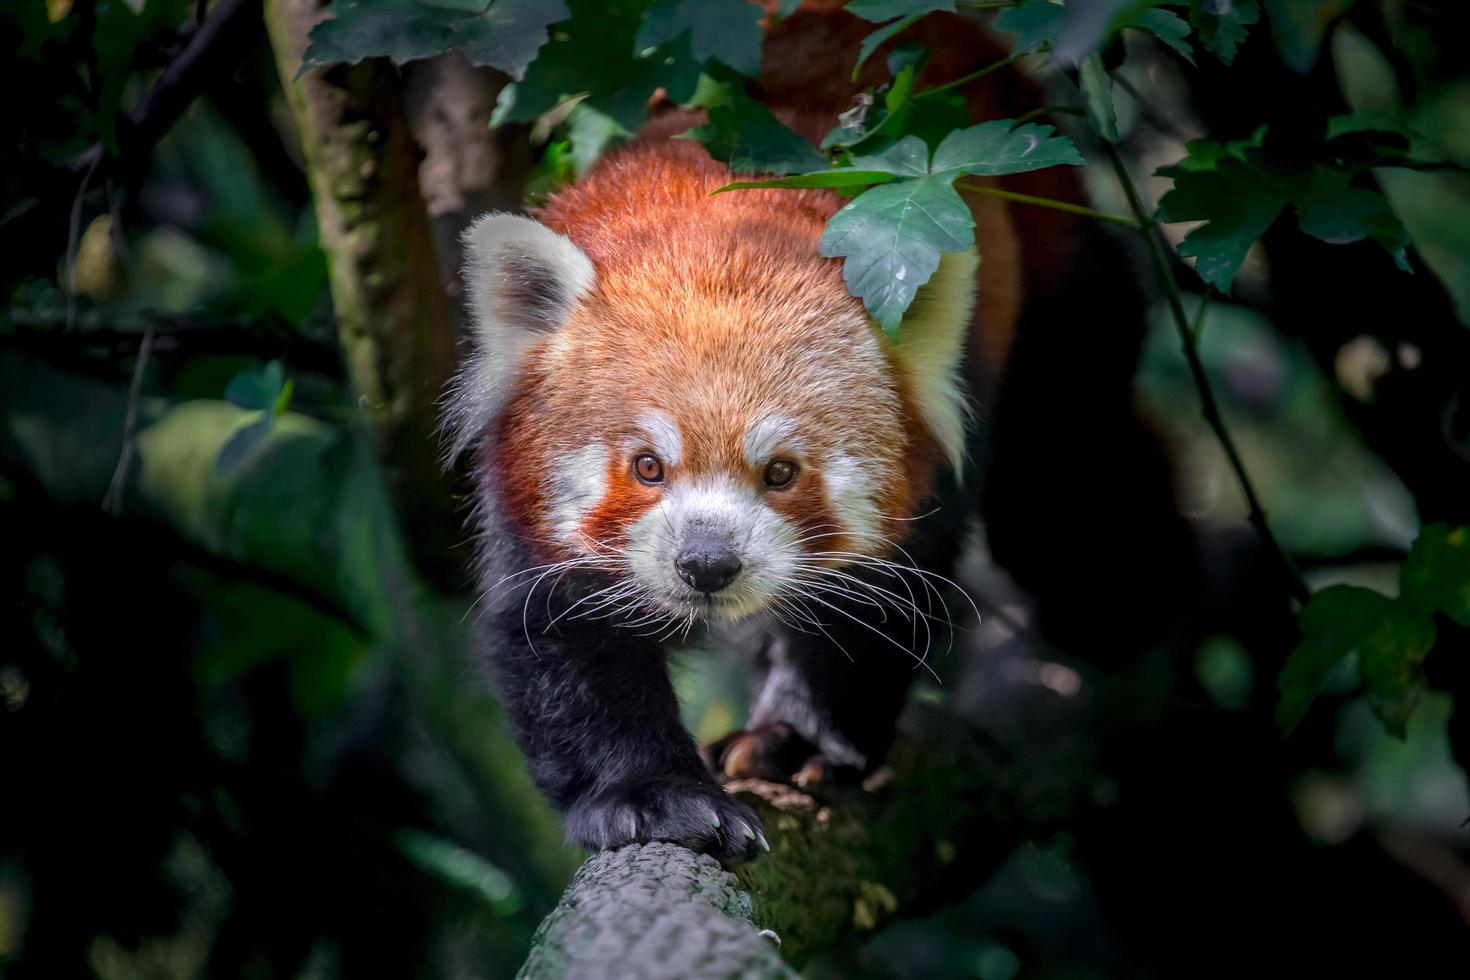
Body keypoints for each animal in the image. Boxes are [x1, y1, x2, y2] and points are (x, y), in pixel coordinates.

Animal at [441, 1, 1152, 858]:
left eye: (781, 471)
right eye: (647, 466)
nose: (706, 565)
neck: (721, 213)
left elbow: (875, 606)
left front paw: (796, 740)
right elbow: (560, 633)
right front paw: (654, 795)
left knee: (1068, 444)